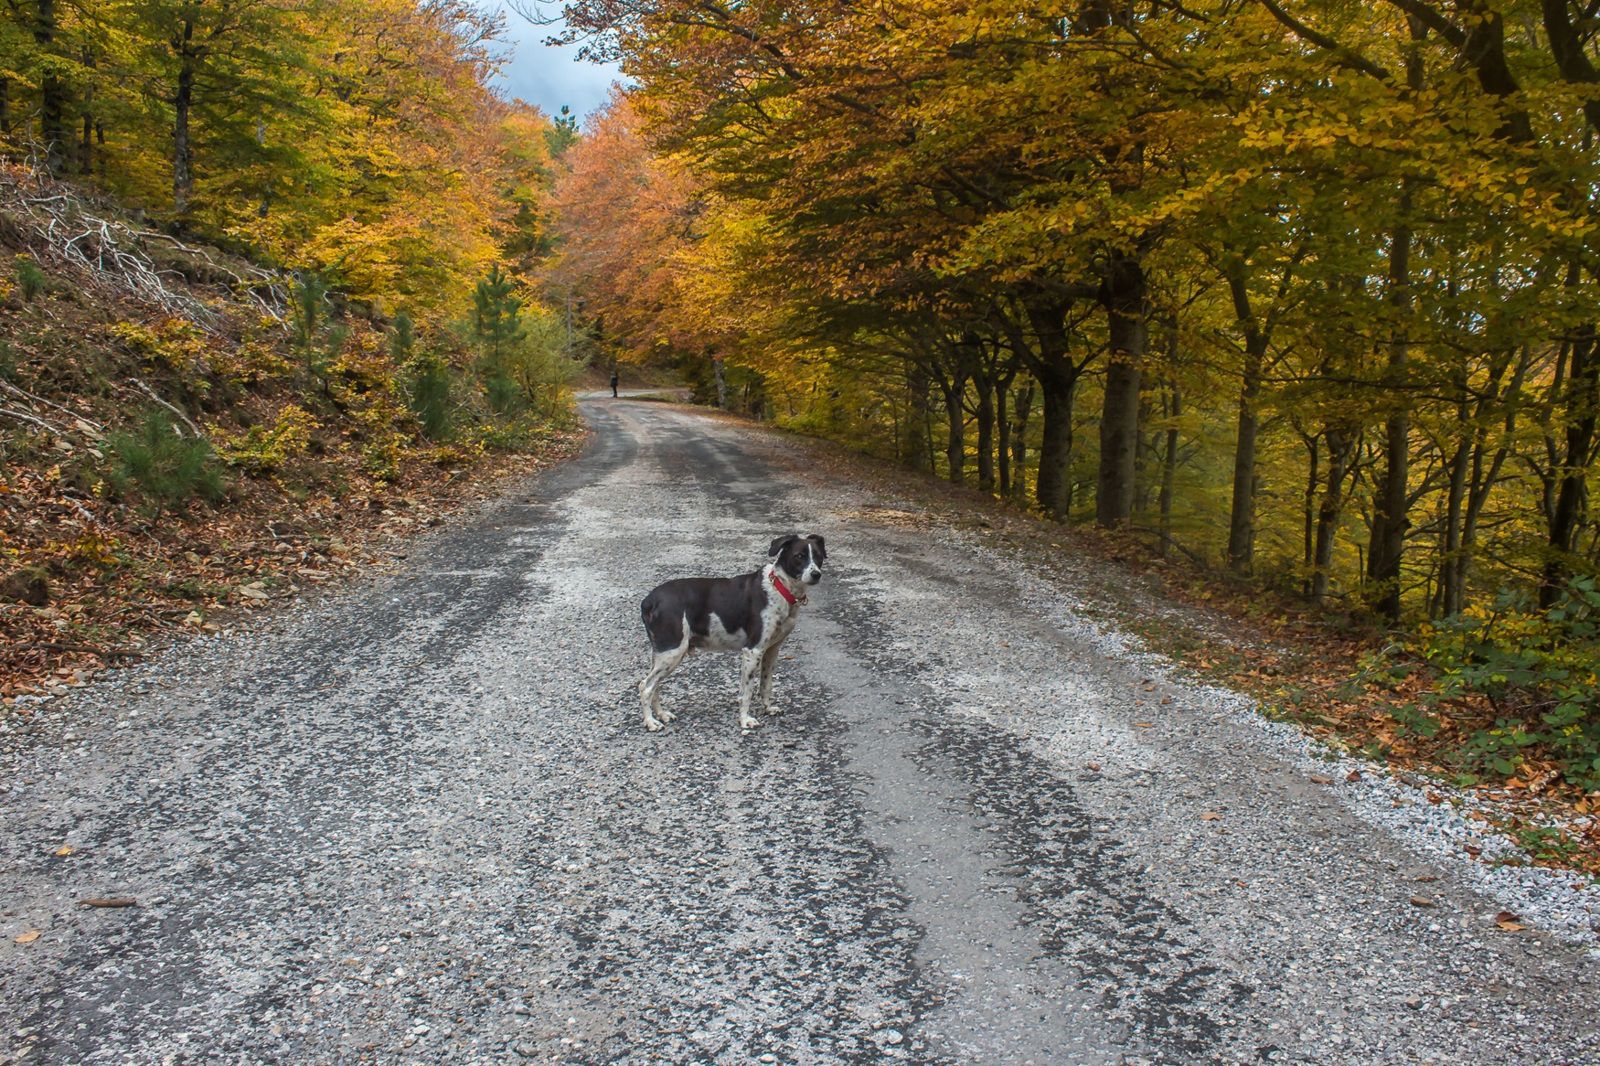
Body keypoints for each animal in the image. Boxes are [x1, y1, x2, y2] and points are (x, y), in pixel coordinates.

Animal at [640, 531, 832, 729]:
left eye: (818, 556)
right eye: (799, 556)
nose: (816, 574)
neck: (779, 588)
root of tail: (650, 600)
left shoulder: (772, 650)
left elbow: (766, 684)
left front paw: (768, 708)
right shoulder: (752, 651)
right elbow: (746, 692)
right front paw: (745, 720)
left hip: (664, 653)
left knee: (655, 686)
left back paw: (662, 715)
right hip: (673, 650)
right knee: (645, 686)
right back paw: (651, 722)